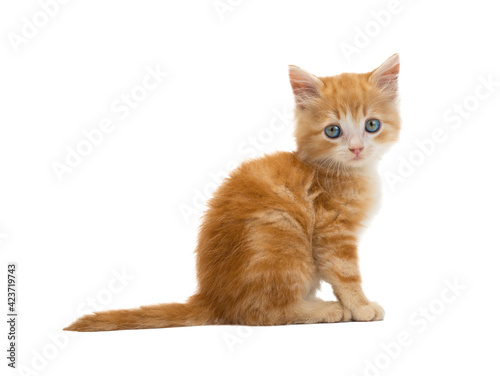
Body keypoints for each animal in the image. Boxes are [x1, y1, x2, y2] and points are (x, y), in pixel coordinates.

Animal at [65, 53, 402, 332]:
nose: (356, 148)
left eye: (372, 125)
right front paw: (361, 307)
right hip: (280, 232)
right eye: (333, 131)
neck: (338, 171)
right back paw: (323, 310)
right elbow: (345, 273)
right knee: (262, 314)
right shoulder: (332, 232)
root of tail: (213, 299)